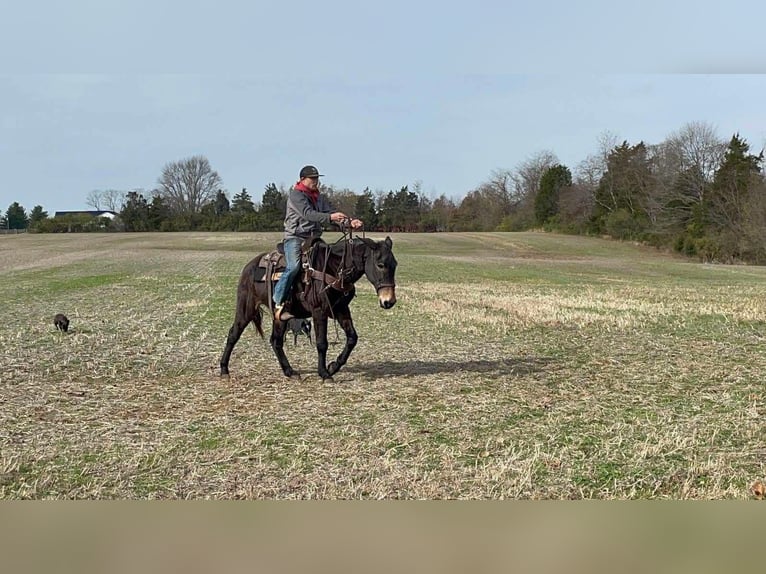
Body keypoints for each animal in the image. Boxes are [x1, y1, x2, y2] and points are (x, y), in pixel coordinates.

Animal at [219, 235, 397, 382]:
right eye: (380, 264)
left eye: (395, 265)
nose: (389, 301)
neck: (334, 267)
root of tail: (249, 266)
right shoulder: (319, 311)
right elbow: (322, 343)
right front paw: (324, 374)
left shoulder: (341, 310)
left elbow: (352, 338)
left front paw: (333, 367)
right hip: (246, 308)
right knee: (234, 334)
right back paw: (224, 370)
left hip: (280, 317)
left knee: (276, 341)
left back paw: (290, 372)